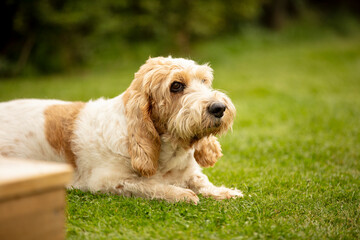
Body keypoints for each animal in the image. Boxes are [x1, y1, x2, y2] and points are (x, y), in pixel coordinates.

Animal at [0, 56, 243, 204]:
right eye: (176, 86)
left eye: (204, 81)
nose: (219, 108)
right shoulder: (106, 182)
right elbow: (150, 185)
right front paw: (182, 194)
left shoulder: (190, 172)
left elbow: (202, 181)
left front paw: (226, 192)